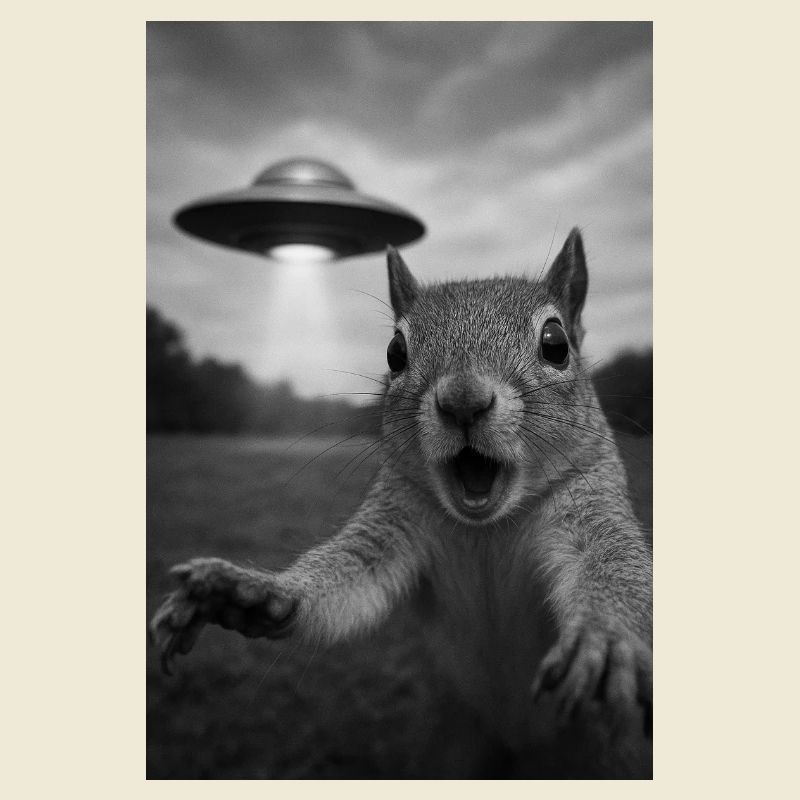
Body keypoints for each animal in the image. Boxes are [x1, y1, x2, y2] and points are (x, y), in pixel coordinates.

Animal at [149, 228, 653, 778]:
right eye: (394, 351)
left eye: (556, 344)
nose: (463, 401)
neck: (487, 528)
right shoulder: (393, 519)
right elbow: (348, 580)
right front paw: (251, 591)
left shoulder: (592, 502)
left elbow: (615, 566)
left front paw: (606, 636)